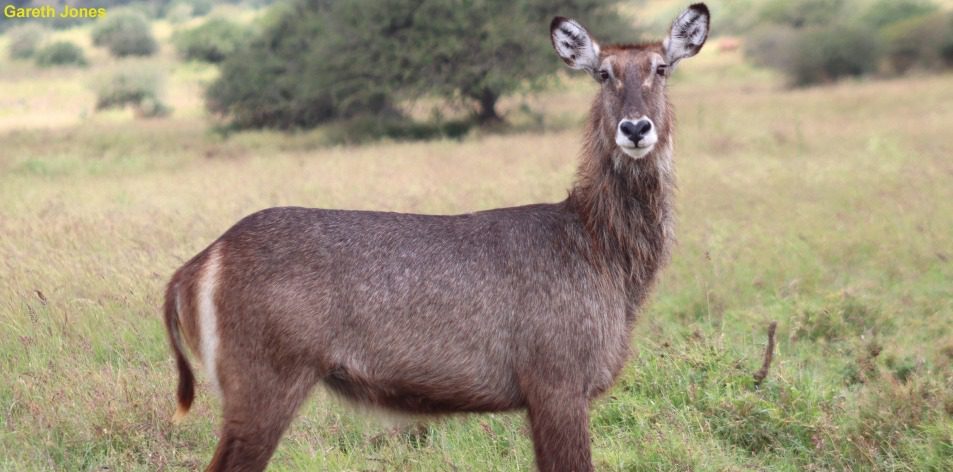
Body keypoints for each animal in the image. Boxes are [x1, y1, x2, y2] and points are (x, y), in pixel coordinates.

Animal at [165, 4, 708, 472]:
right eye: (603, 73)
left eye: (661, 68)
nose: (635, 128)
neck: (599, 246)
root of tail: (203, 260)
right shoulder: (557, 385)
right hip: (265, 386)